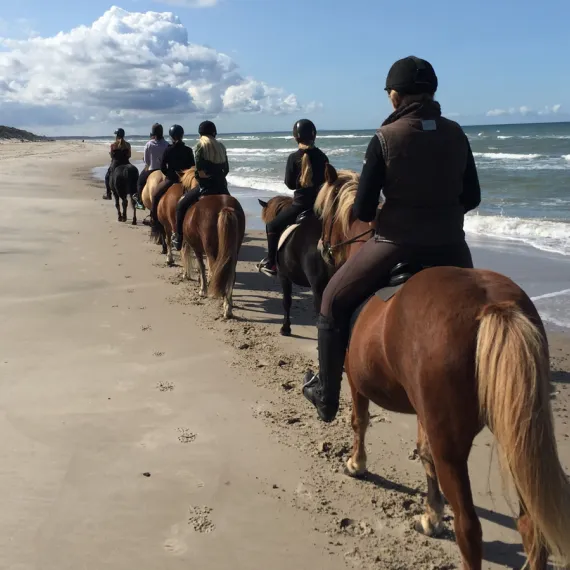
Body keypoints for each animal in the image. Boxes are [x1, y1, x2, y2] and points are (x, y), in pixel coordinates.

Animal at [312, 164, 568, 568]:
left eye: (322, 215)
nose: (323, 250)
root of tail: (492, 306)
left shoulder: (356, 382)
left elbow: (360, 422)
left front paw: (357, 463)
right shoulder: (424, 413)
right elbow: (423, 453)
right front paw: (431, 515)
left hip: (457, 445)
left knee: (470, 528)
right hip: (517, 430)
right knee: (531, 528)